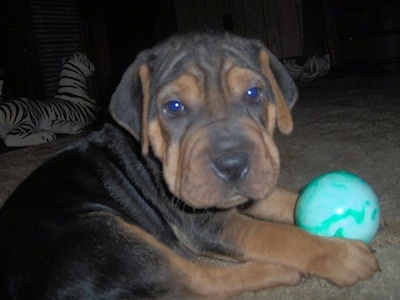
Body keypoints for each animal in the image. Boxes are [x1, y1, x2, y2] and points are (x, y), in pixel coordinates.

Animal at [0, 31, 378, 298]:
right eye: (174, 107)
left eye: (254, 94)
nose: (232, 164)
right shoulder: (206, 222)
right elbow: (275, 234)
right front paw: (340, 255)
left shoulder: (248, 188)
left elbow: (284, 197)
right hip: (106, 234)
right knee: (199, 281)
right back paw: (276, 271)